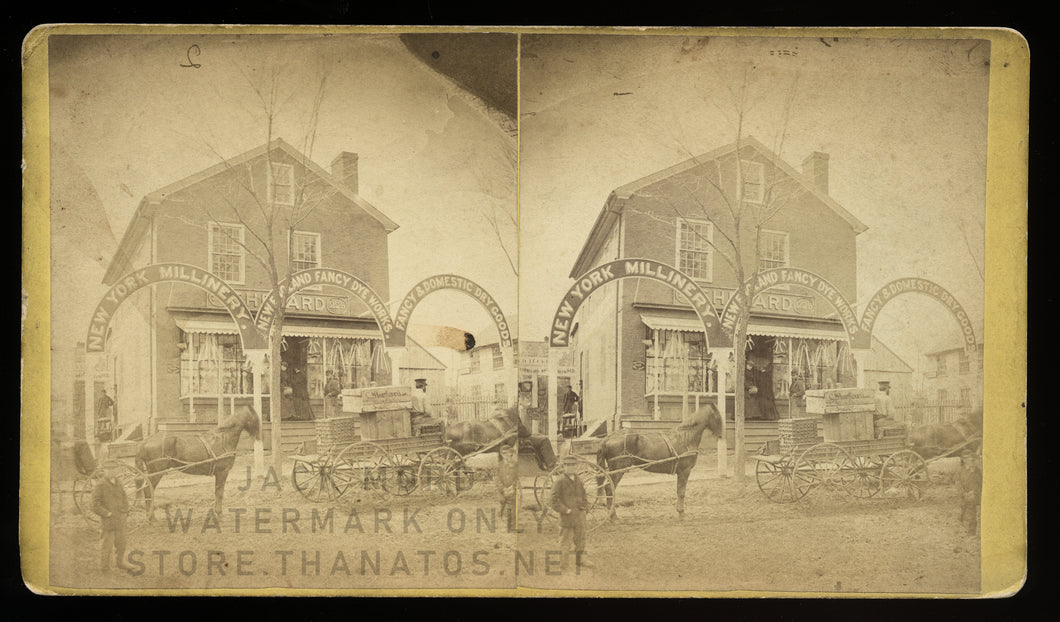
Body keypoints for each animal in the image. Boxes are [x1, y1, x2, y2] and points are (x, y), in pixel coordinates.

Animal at [597, 406, 729, 523]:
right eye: (718, 416)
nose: (722, 434)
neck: (685, 437)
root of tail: (607, 438)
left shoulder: (681, 472)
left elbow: (679, 491)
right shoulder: (685, 471)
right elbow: (681, 492)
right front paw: (682, 514)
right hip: (619, 469)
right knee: (609, 488)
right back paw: (613, 517)